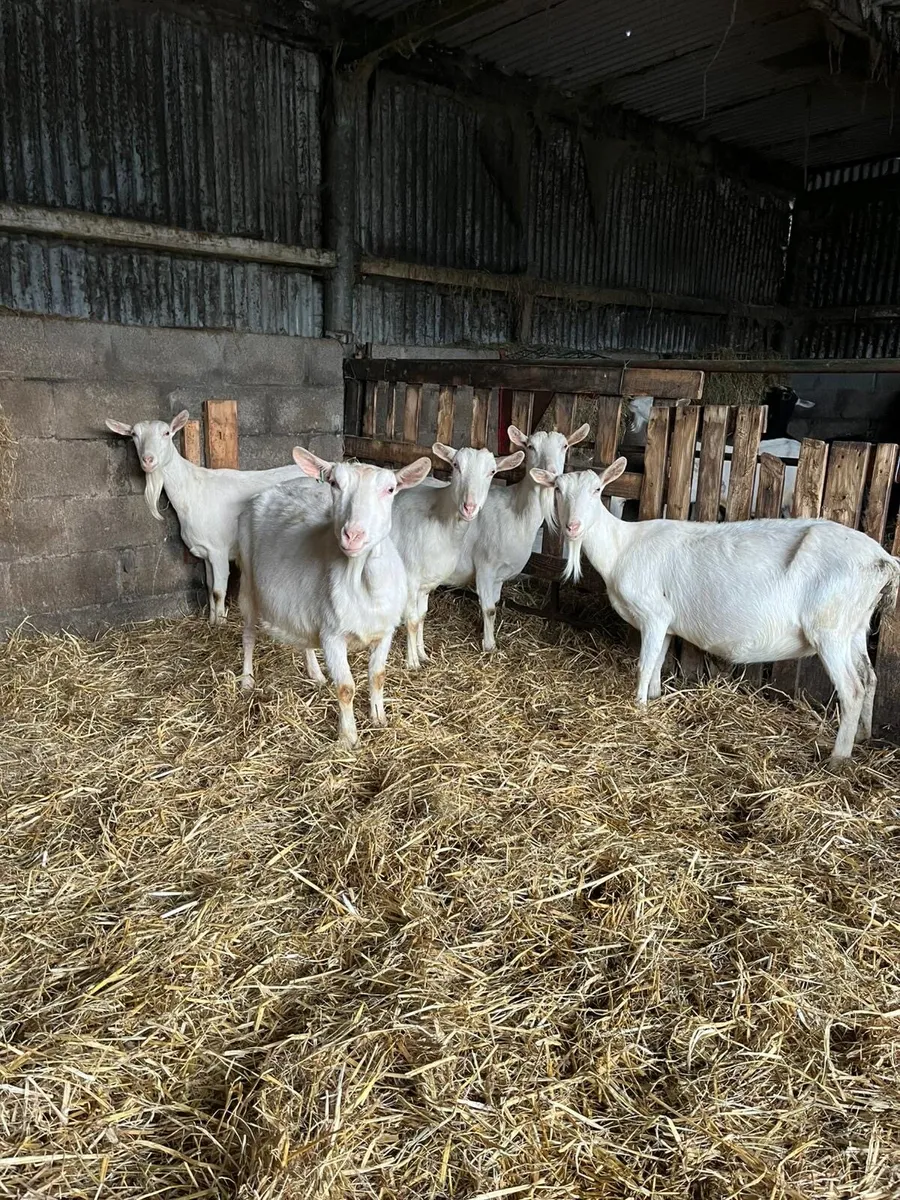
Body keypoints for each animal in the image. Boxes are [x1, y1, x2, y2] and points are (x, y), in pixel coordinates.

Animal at [106, 410, 306, 625]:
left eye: (166, 433)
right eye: (134, 434)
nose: (148, 460)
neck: (192, 490)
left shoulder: (219, 550)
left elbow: (218, 591)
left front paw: (221, 623)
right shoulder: (206, 552)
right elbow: (209, 588)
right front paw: (212, 620)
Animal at [237, 448, 432, 747]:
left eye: (390, 489)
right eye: (334, 483)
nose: (353, 534)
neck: (363, 581)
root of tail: (268, 491)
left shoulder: (385, 631)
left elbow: (377, 676)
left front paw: (379, 718)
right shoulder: (332, 636)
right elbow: (345, 688)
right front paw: (349, 737)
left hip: (300, 601)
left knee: (303, 637)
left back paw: (316, 674)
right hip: (247, 581)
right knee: (248, 634)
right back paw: (247, 680)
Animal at [391, 442, 524, 668]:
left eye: (492, 472)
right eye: (456, 465)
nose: (469, 507)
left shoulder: (426, 583)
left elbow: (421, 617)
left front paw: (422, 654)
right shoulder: (409, 578)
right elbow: (411, 621)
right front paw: (412, 663)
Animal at [444, 423, 590, 651]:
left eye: (565, 446)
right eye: (530, 446)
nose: (550, 471)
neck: (517, 512)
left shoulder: (499, 575)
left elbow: (494, 605)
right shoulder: (485, 566)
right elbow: (489, 609)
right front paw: (489, 646)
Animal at [532, 459, 900, 761]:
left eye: (597, 490)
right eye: (558, 489)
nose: (573, 527)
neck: (623, 546)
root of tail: (884, 560)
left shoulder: (653, 614)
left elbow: (644, 664)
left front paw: (638, 707)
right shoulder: (667, 623)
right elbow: (658, 663)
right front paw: (655, 698)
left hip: (830, 629)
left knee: (852, 689)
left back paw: (838, 757)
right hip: (855, 626)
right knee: (869, 677)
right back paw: (863, 736)